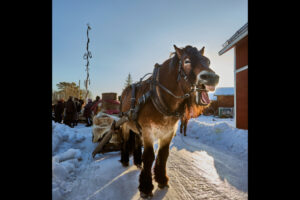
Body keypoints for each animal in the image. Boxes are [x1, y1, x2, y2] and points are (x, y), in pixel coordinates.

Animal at [118, 44, 219, 198]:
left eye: (208, 61)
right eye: (187, 61)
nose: (212, 77)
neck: (159, 98)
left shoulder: (168, 132)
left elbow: (163, 155)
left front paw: (161, 180)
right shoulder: (148, 131)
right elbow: (149, 157)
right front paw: (146, 187)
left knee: (136, 142)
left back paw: (137, 161)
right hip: (124, 124)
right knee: (124, 141)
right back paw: (124, 160)